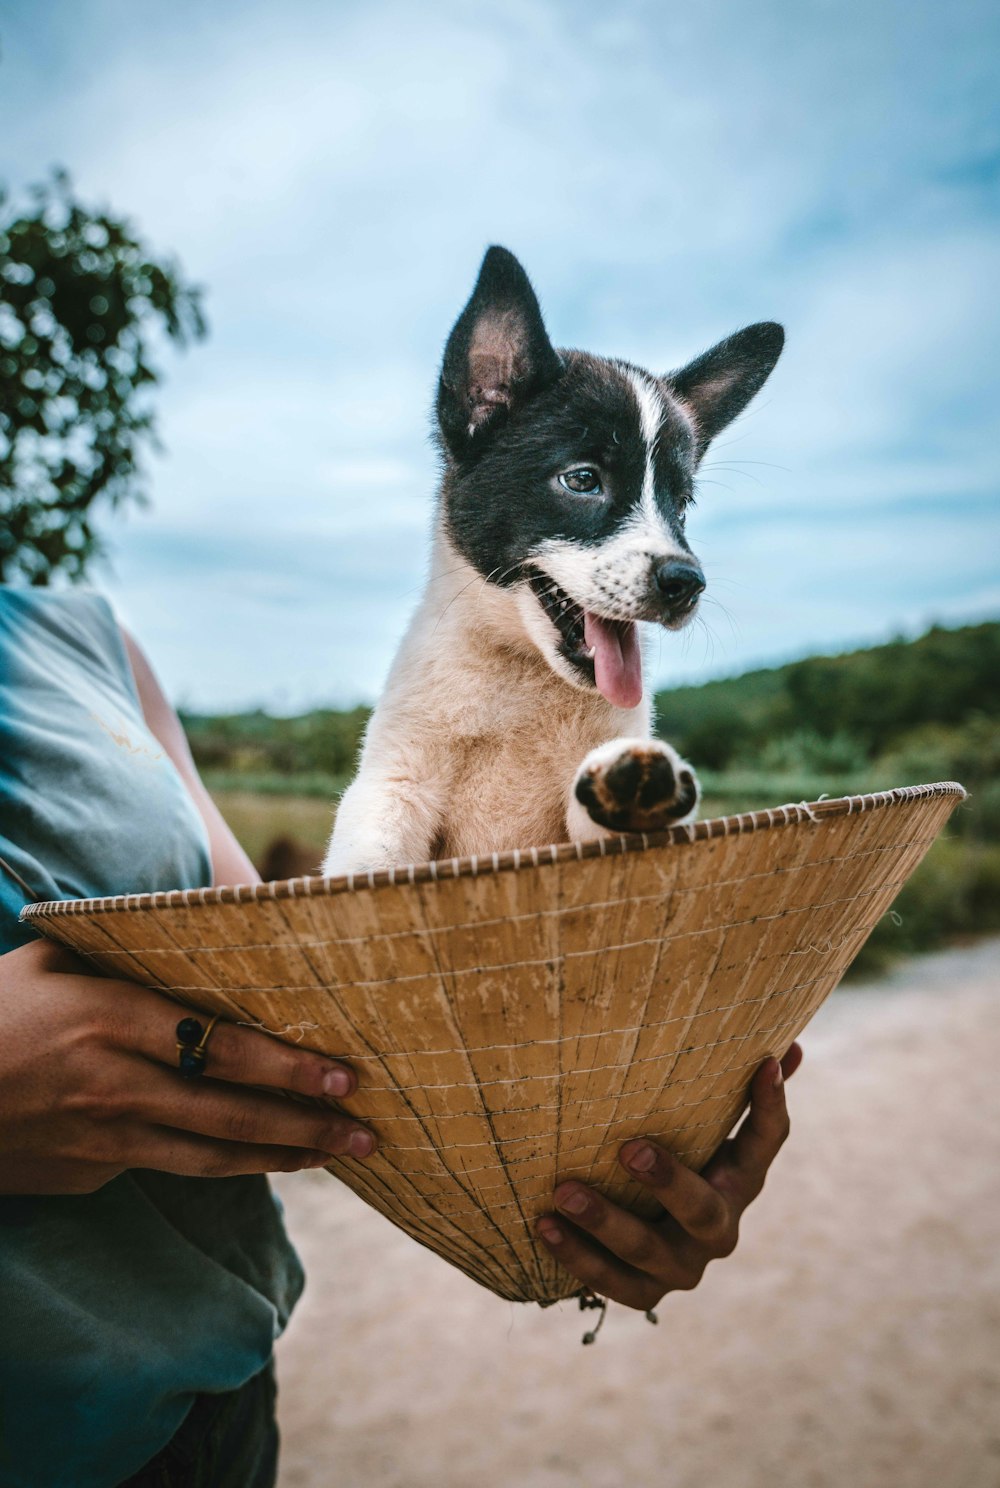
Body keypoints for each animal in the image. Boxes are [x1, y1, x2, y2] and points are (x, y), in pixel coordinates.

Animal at [324, 242, 785, 868]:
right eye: (582, 480)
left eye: (682, 504)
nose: (686, 583)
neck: (522, 674)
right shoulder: (391, 789)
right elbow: (370, 864)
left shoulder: (575, 829)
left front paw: (635, 793)